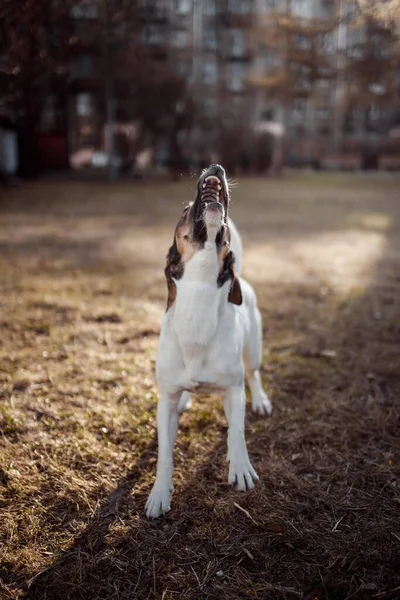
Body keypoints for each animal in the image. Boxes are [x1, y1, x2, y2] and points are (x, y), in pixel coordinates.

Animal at [145, 162, 274, 516]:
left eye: (225, 229)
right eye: (186, 209)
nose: (216, 166)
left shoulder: (233, 391)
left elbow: (238, 432)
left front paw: (240, 466)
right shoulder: (165, 401)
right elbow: (165, 454)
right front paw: (159, 492)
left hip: (253, 350)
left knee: (254, 375)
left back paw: (260, 400)